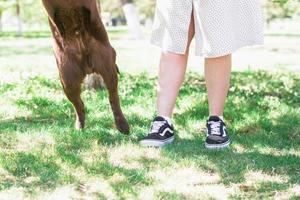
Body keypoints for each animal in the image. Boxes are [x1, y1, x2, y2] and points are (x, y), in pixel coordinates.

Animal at [42, 0, 130, 134]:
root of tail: (87, 67)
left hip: (107, 67)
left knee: (113, 97)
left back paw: (122, 124)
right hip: (67, 80)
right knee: (79, 105)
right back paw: (79, 125)